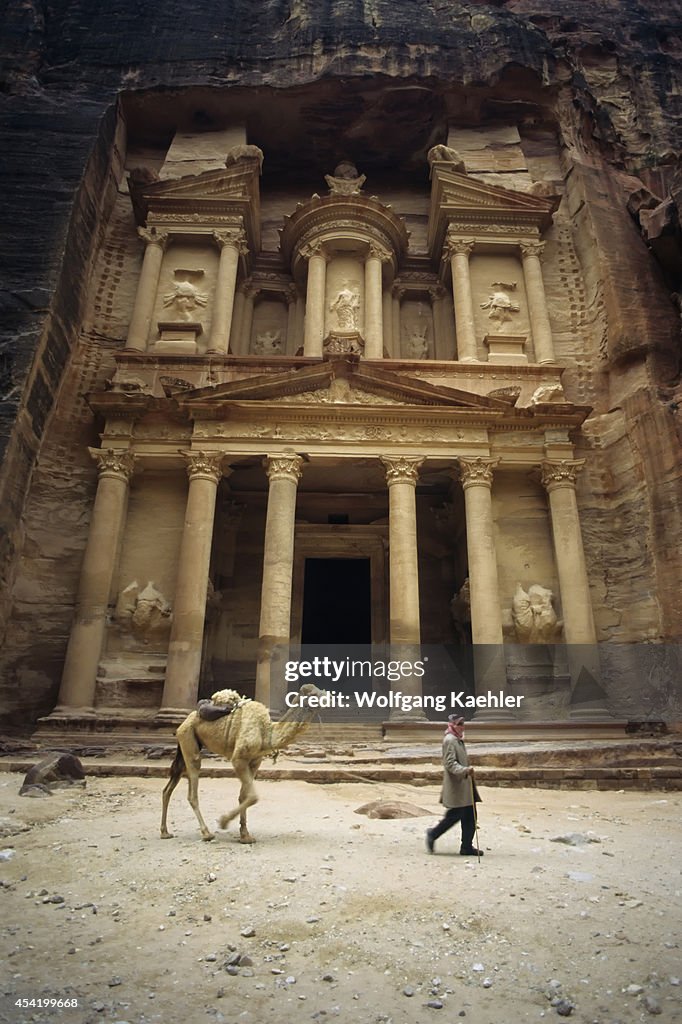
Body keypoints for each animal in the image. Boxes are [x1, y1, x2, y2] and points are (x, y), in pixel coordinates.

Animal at [159, 684, 323, 843]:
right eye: (314, 695)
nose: (328, 697)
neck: (266, 732)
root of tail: (183, 722)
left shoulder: (255, 761)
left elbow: (244, 796)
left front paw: (245, 836)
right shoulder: (238, 759)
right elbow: (253, 796)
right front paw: (224, 822)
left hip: (186, 745)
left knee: (169, 787)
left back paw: (165, 832)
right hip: (188, 738)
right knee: (192, 786)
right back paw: (206, 833)